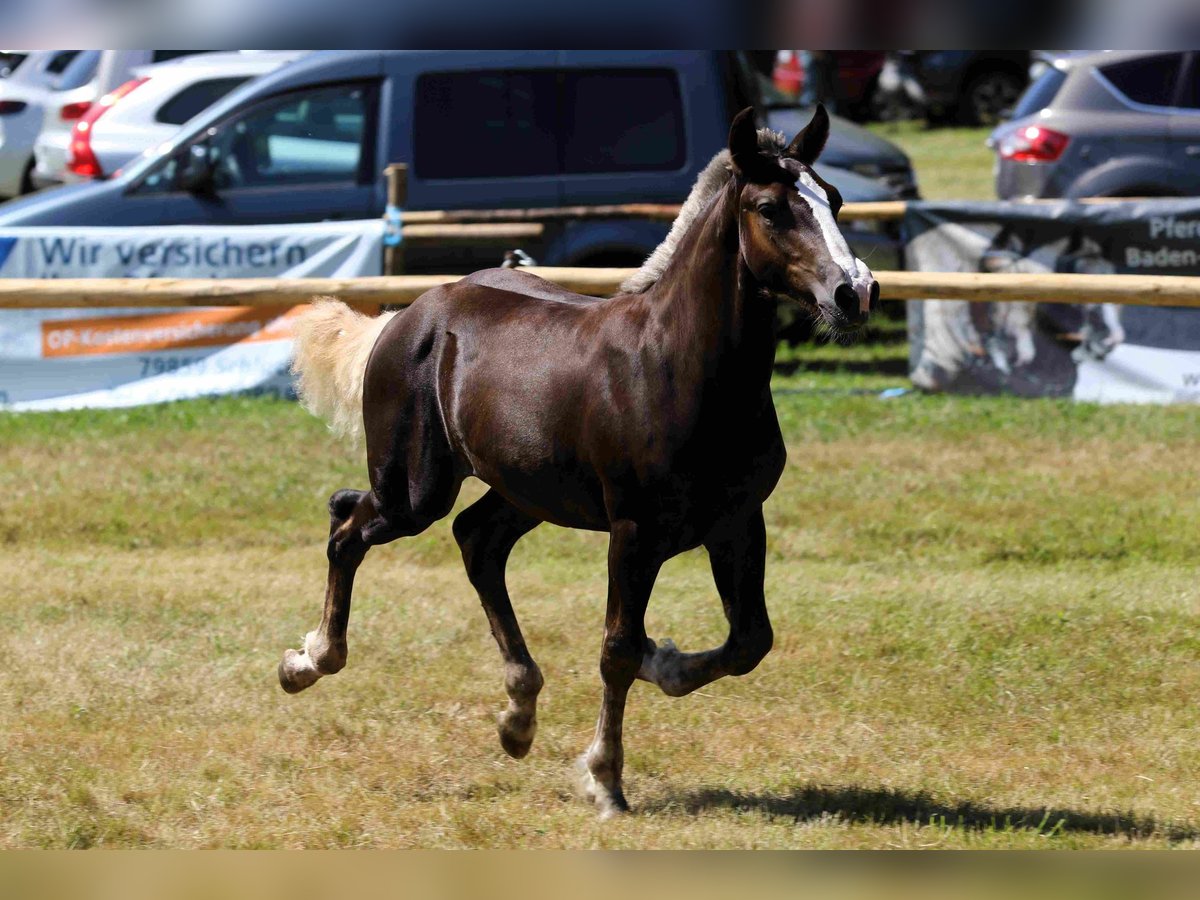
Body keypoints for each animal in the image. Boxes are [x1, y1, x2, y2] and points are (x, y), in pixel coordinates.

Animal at [282, 105, 883, 816]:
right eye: (769, 209)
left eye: (834, 199)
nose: (855, 292)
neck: (678, 368)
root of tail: (407, 317)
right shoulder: (633, 531)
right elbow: (616, 648)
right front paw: (606, 779)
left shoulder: (738, 523)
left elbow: (748, 641)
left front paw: (664, 661)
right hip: (414, 489)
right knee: (348, 523)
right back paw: (308, 662)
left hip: (524, 491)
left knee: (475, 540)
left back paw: (518, 717)